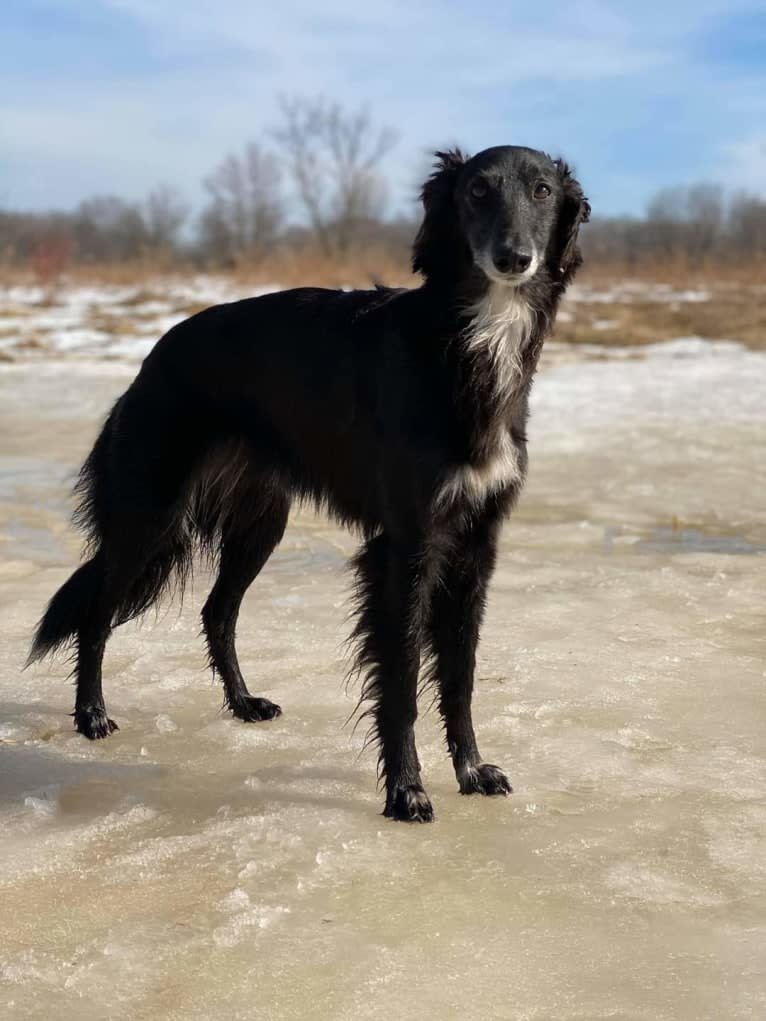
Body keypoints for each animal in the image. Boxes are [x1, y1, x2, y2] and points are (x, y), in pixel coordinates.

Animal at [30, 146, 592, 820]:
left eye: (541, 191)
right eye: (478, 191)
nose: (513, 257)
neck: (469, 341)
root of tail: (154, 356)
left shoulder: (477, 543)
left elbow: (460, 675)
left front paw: (472, 770)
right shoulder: (407, 545)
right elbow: (403, 677)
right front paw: (406, 790)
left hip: (259, 525)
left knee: (217, 613)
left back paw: (242, 704)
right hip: (150, 518)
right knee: (96, 613)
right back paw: (91, 715)